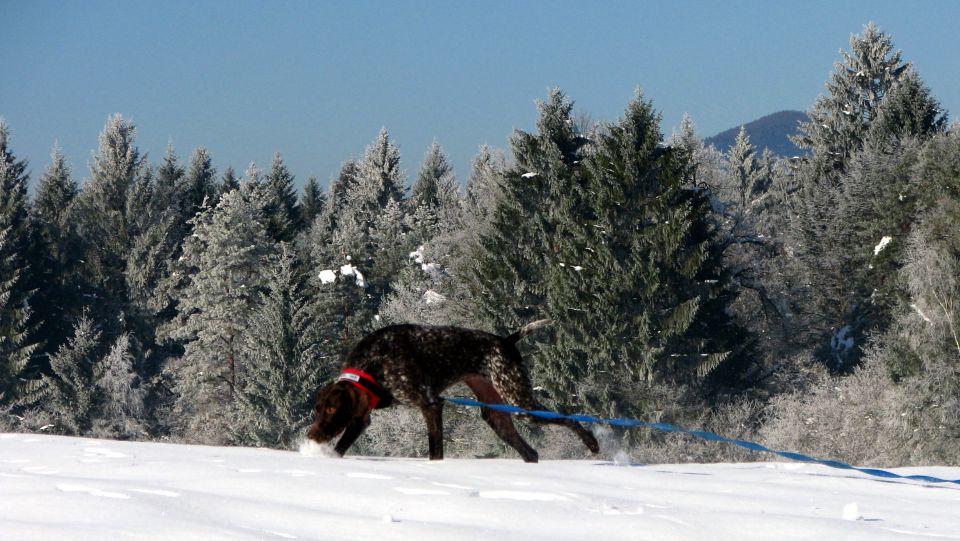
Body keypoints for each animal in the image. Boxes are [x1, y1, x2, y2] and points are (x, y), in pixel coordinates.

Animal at [308, 318, 596, 462]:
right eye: (317, 409)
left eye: (332, 409)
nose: (311, 436)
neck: (374, 362)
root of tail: (506, 341)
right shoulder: (362, 417)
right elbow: (340, 448)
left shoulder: (431, 403)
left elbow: (435, 452)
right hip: (496, 413)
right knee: (531, 453)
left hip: (521, 402)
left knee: (569, 418)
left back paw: (592, 443)